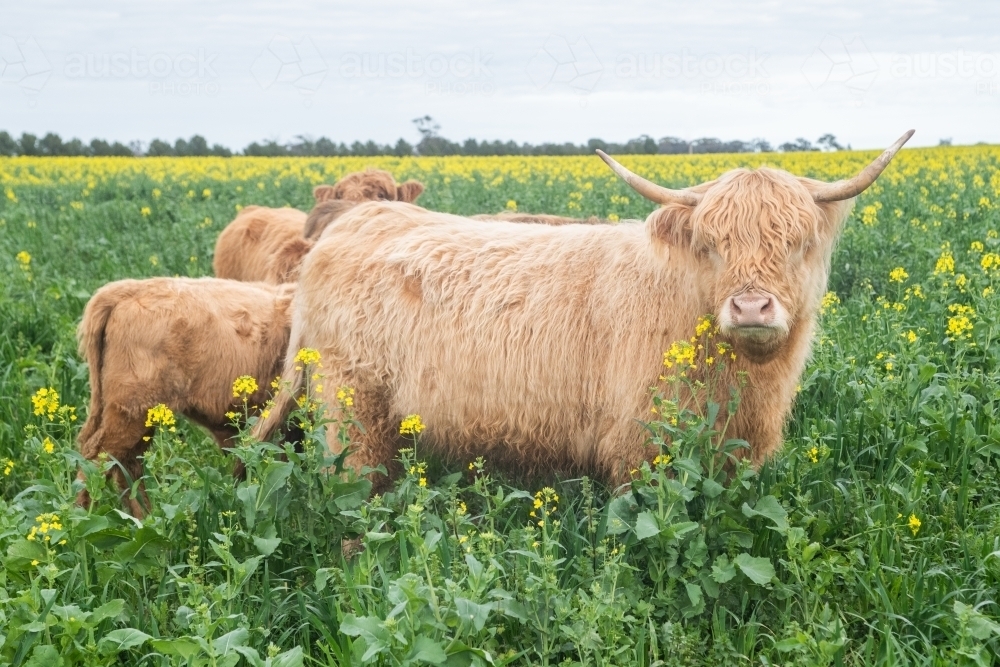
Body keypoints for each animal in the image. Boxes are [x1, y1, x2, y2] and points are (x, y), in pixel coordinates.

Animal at [76, 277, 295, 515]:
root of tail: (131, 287)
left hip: (139, 415)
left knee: (126, 465)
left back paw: (145, 516)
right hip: (131, 411)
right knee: (96, 461)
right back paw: (79, 518)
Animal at [253, 131, 913, 486]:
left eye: (797, 242)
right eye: (711, 243)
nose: (752, 307)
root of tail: (353, 223)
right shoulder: (637, 448)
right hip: (352, 411)